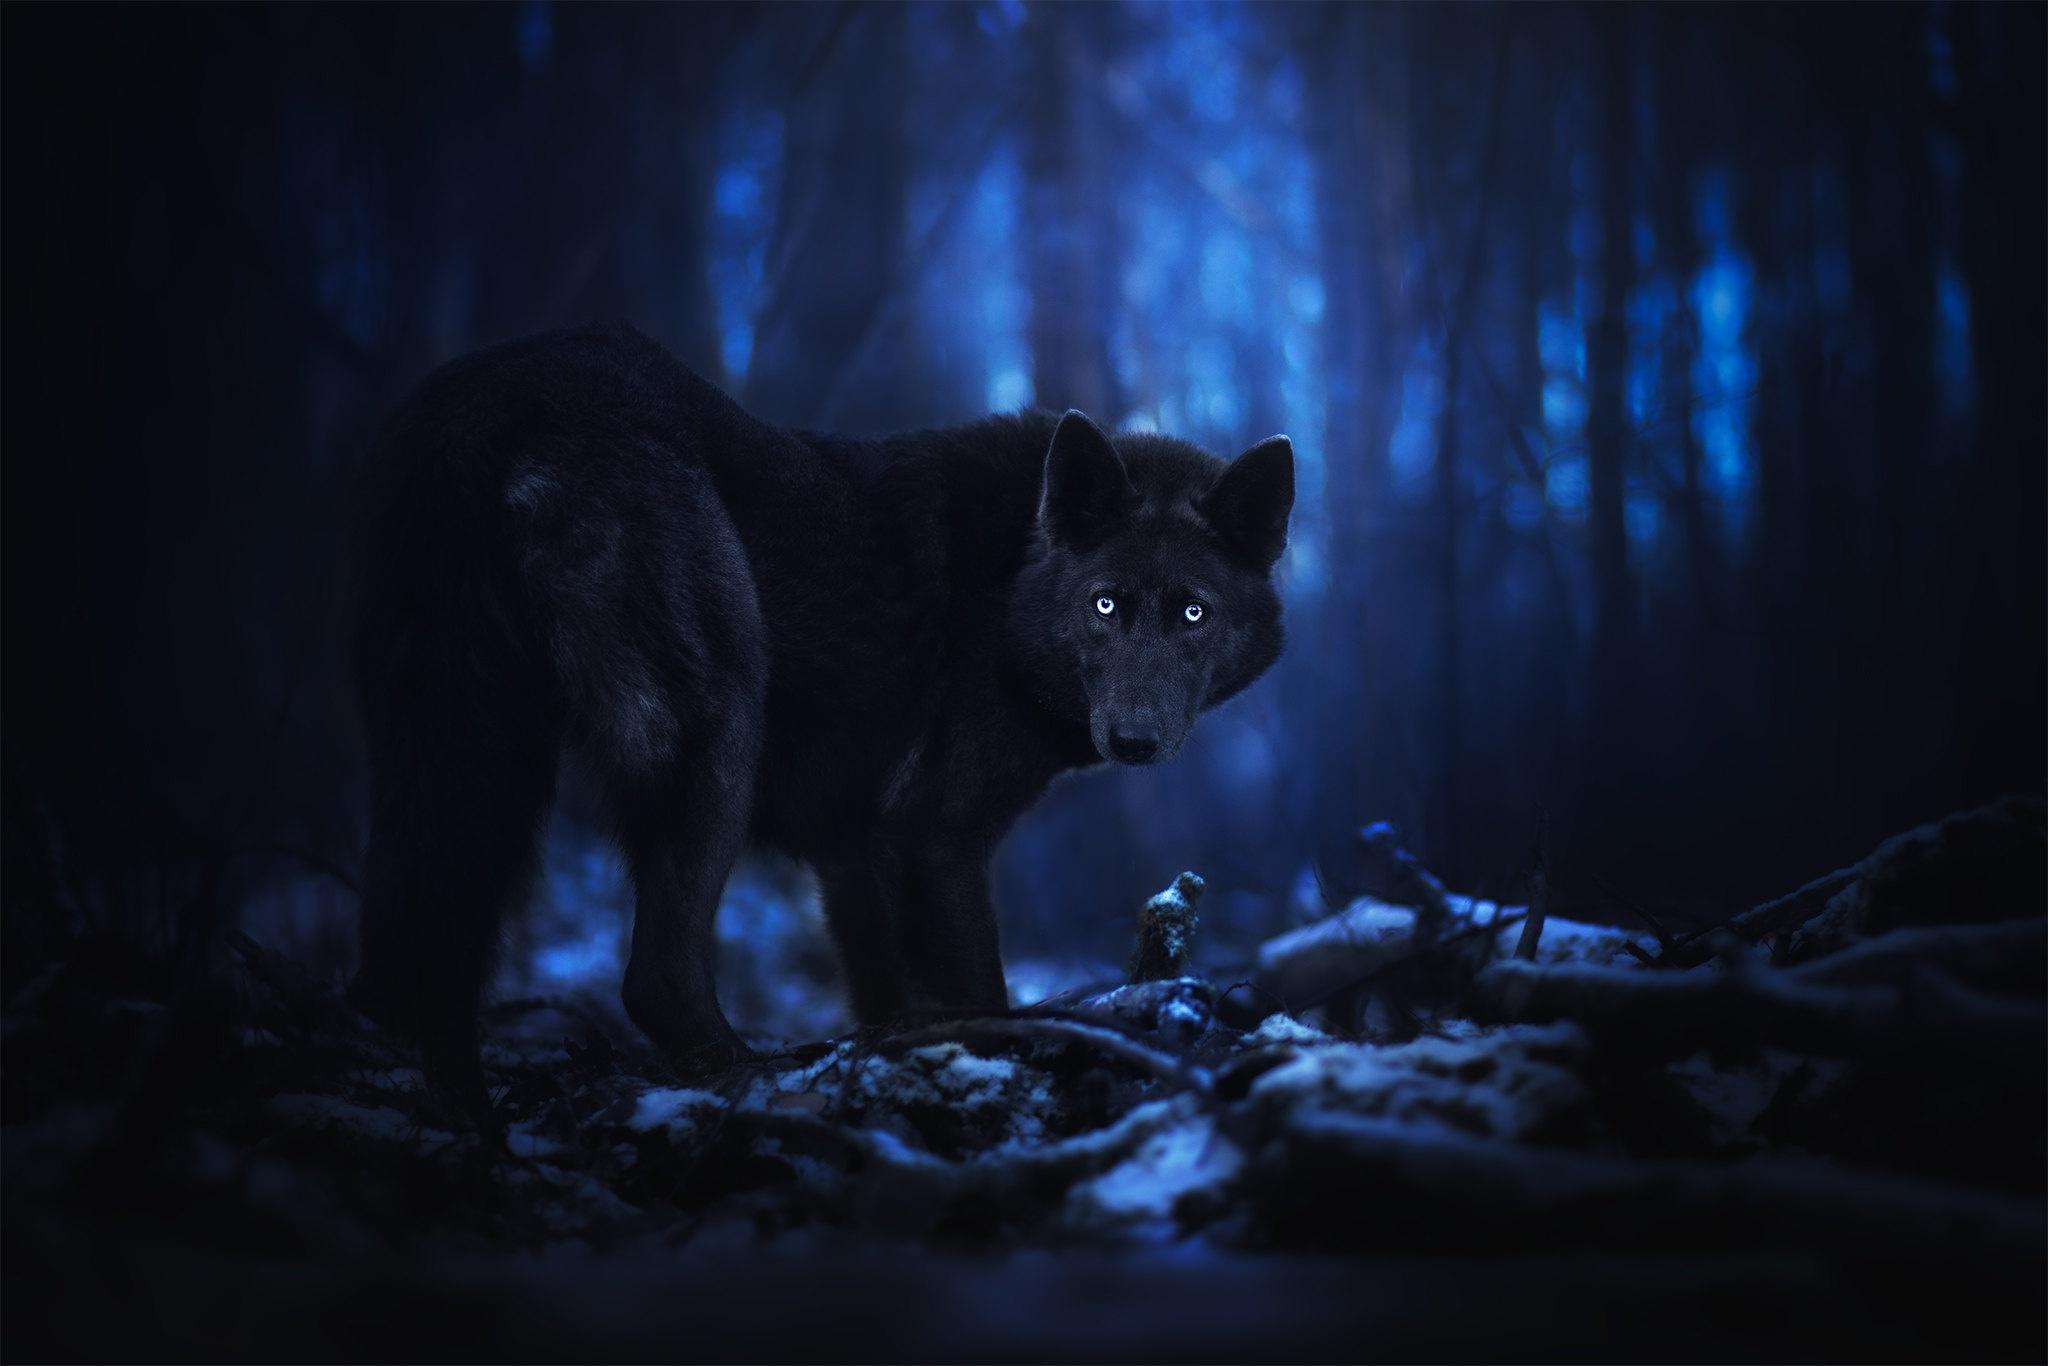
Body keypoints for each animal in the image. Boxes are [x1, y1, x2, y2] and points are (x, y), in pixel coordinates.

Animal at [352, 323, 1293, 1074]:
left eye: (1194, 614)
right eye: (1104, 606)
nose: (1134, 741)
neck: (1008, 591)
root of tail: (500, 391)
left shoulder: (854, 857)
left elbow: (889, 999)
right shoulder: (936, 841)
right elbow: (977, 991)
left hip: (460, 755)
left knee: (417, 946)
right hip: (717, 727)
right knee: (654, 976)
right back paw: (744, 1074)